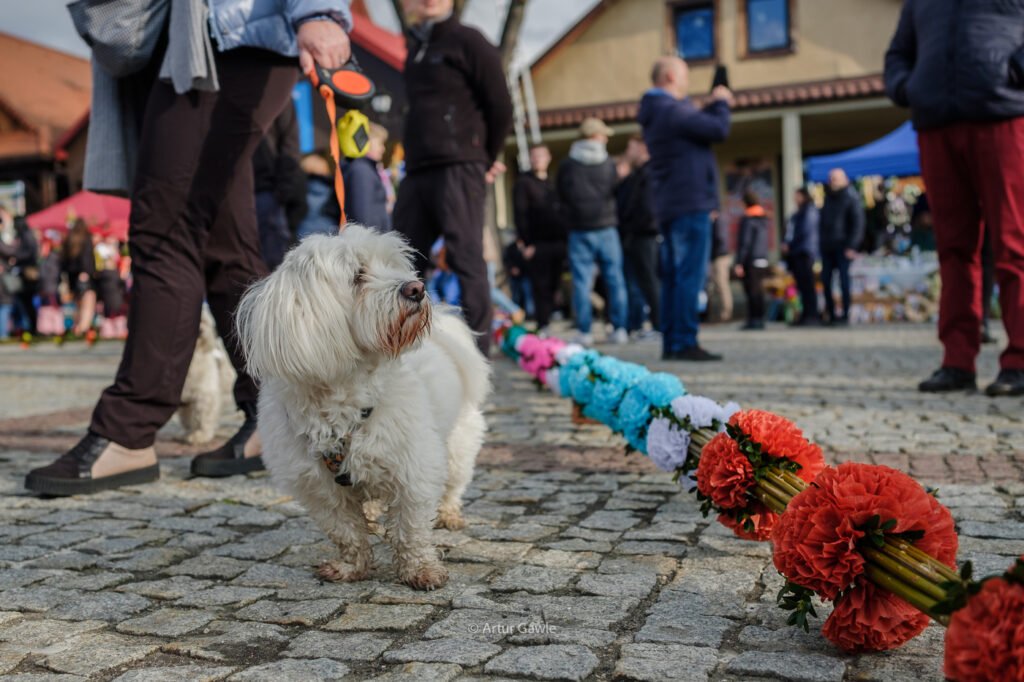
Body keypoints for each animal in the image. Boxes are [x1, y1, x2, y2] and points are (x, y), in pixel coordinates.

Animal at [180, 305, 237, 444]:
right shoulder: (185, 400)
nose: (200, 331)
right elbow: (187, 418)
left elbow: (203, 417)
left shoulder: (205, 394)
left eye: (204, 320)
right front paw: (188, 432)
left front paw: (200, 435)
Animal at [234, 225, 489, 585]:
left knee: (454, 482)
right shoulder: (317, 487)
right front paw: (351, 566)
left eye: (393, 266)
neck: (343, 399)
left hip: (458, 444)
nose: (417, 288)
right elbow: (345, 530)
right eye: (358, 276)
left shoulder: (415, 468)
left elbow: (410, 528)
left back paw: (449, 513)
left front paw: (420, 569)